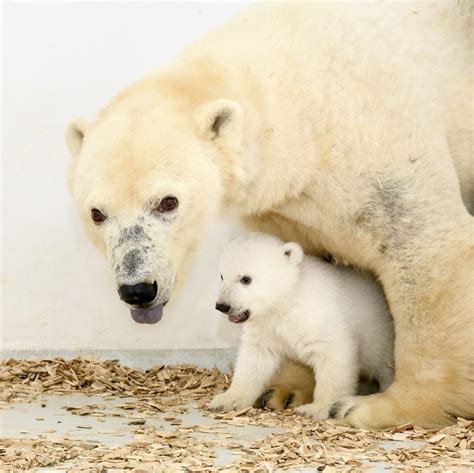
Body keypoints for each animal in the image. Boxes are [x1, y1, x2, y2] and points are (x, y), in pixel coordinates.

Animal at [210, 232, 392, 416]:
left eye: (246, 279)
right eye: (222, 276)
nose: (222, 306)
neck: (288, 299)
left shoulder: (318, 318)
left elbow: (333, 355)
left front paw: (317, 408)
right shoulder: (266, 327)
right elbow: (255, 359)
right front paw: (227, 400)